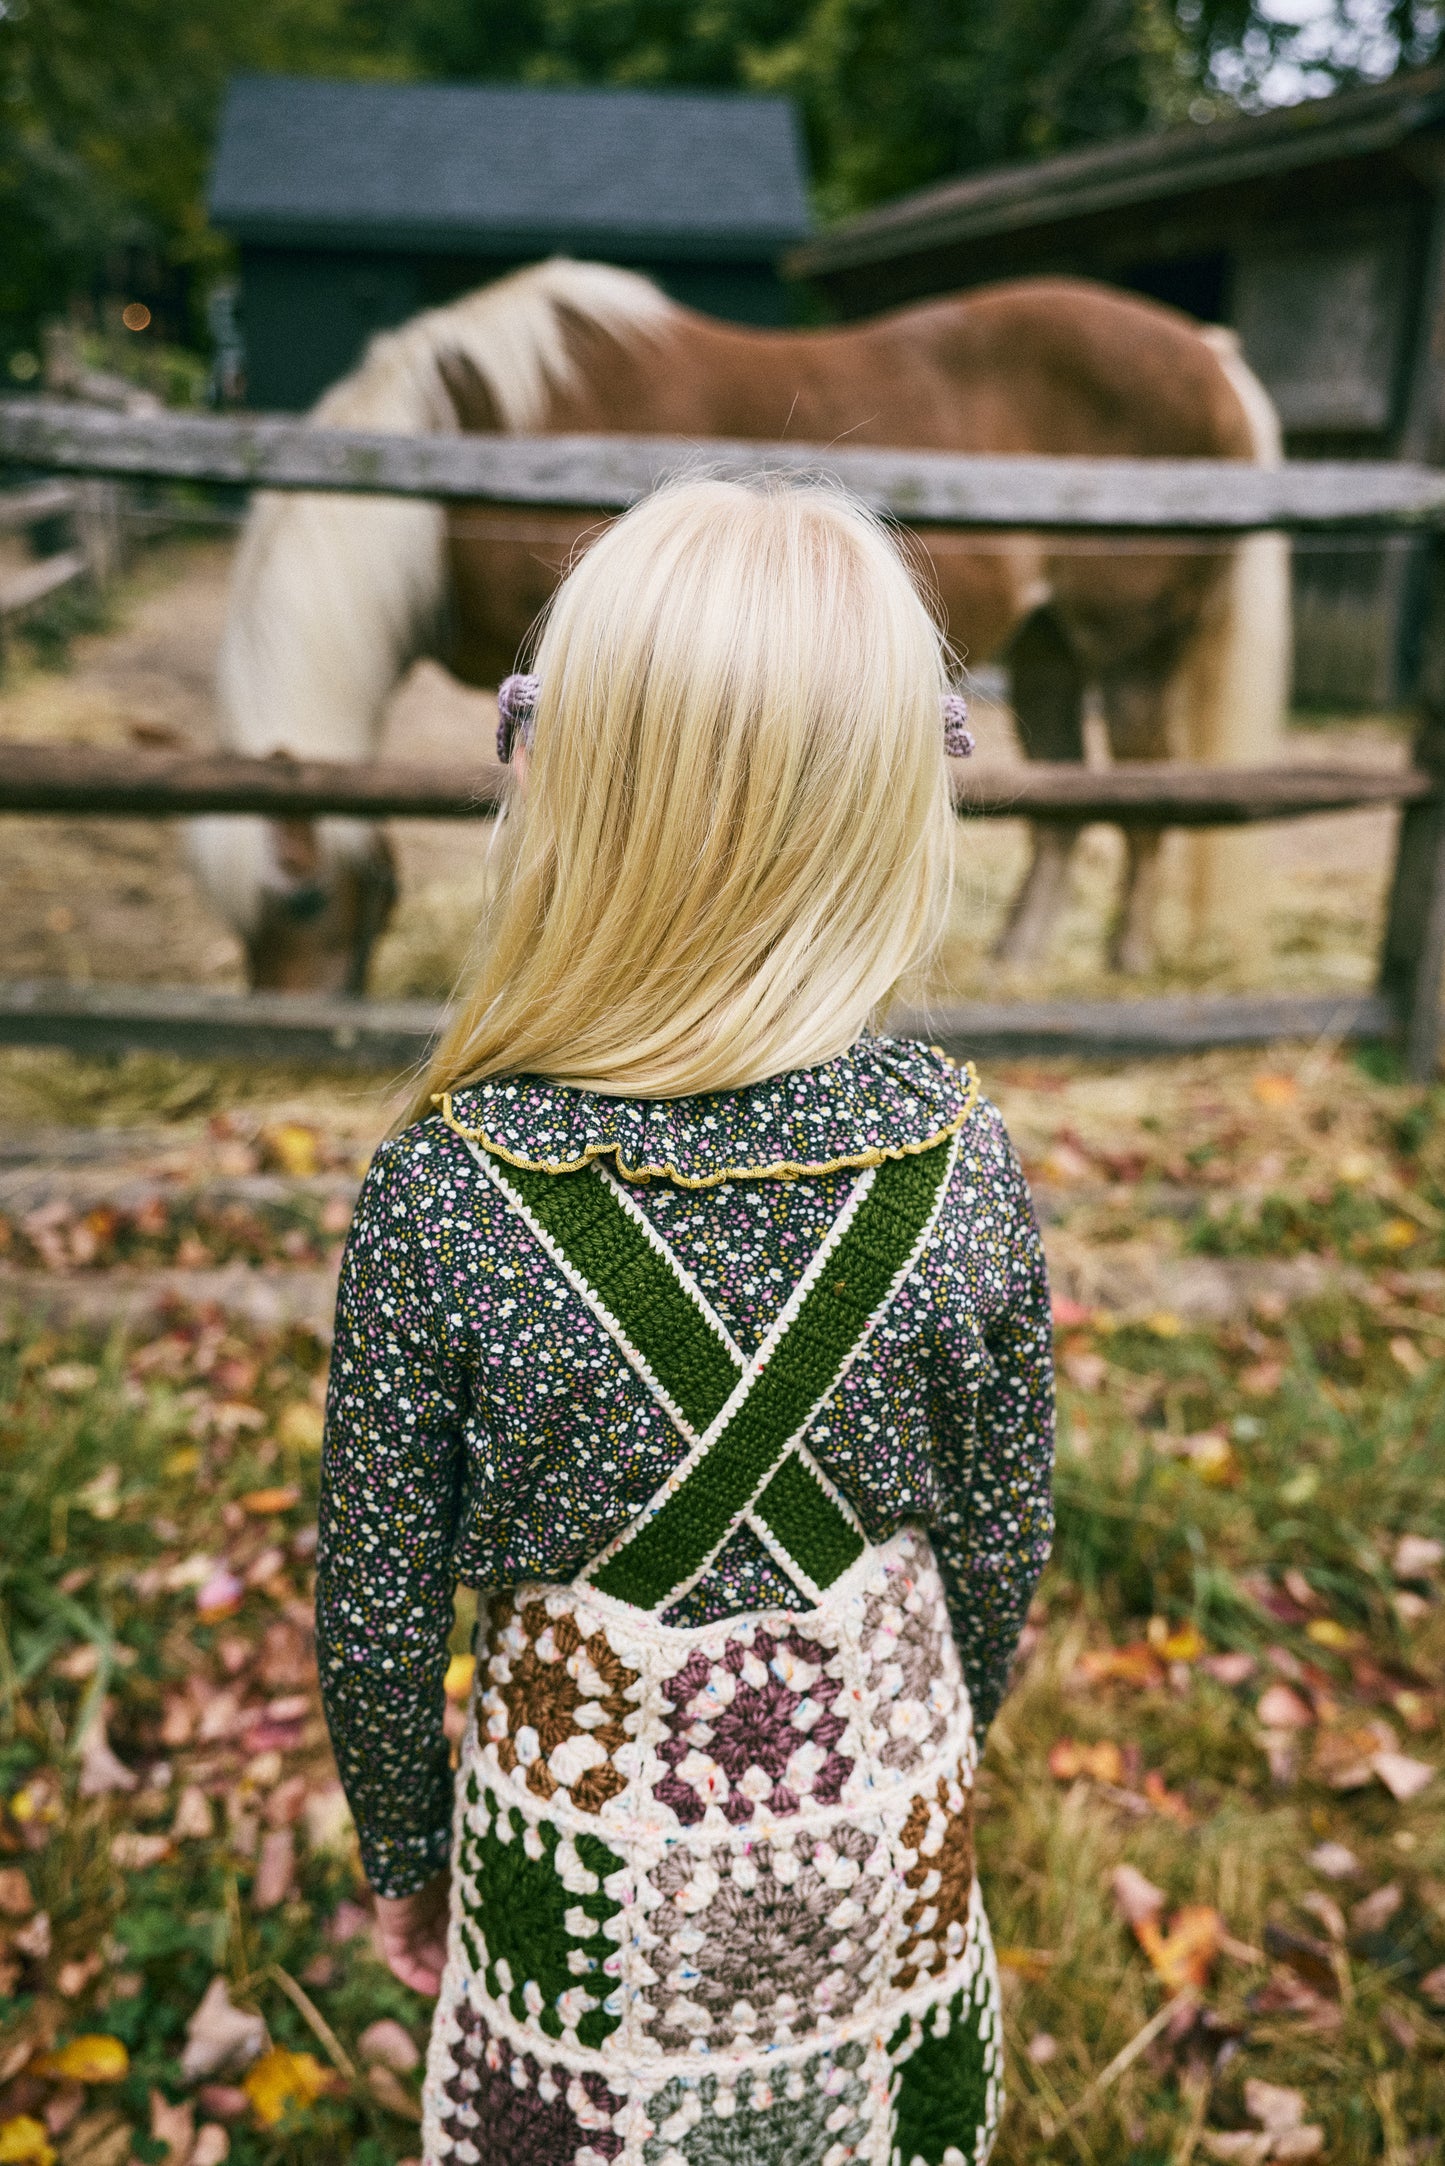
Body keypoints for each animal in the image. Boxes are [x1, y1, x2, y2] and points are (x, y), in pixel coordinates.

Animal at [191, 257, 1291, 992]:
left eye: (302, 901)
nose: (284, 1030)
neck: (462, 452)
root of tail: (1209, 355)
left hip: (1127, 646)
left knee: (1145, 792)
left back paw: (1126, 954)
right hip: (1050, 648)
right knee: (1066, 799)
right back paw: (1017, 956)